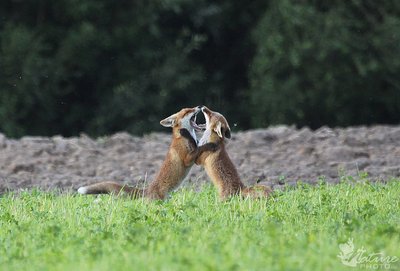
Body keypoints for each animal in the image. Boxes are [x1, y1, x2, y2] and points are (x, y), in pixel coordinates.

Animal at [77, 106, 216, 200]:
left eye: (190, 109)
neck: (184, 138)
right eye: (187, 111)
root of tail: (148, 189)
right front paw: (209, 144)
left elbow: (198, 146)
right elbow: (198, 148)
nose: (199, 106)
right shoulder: (187, 159)